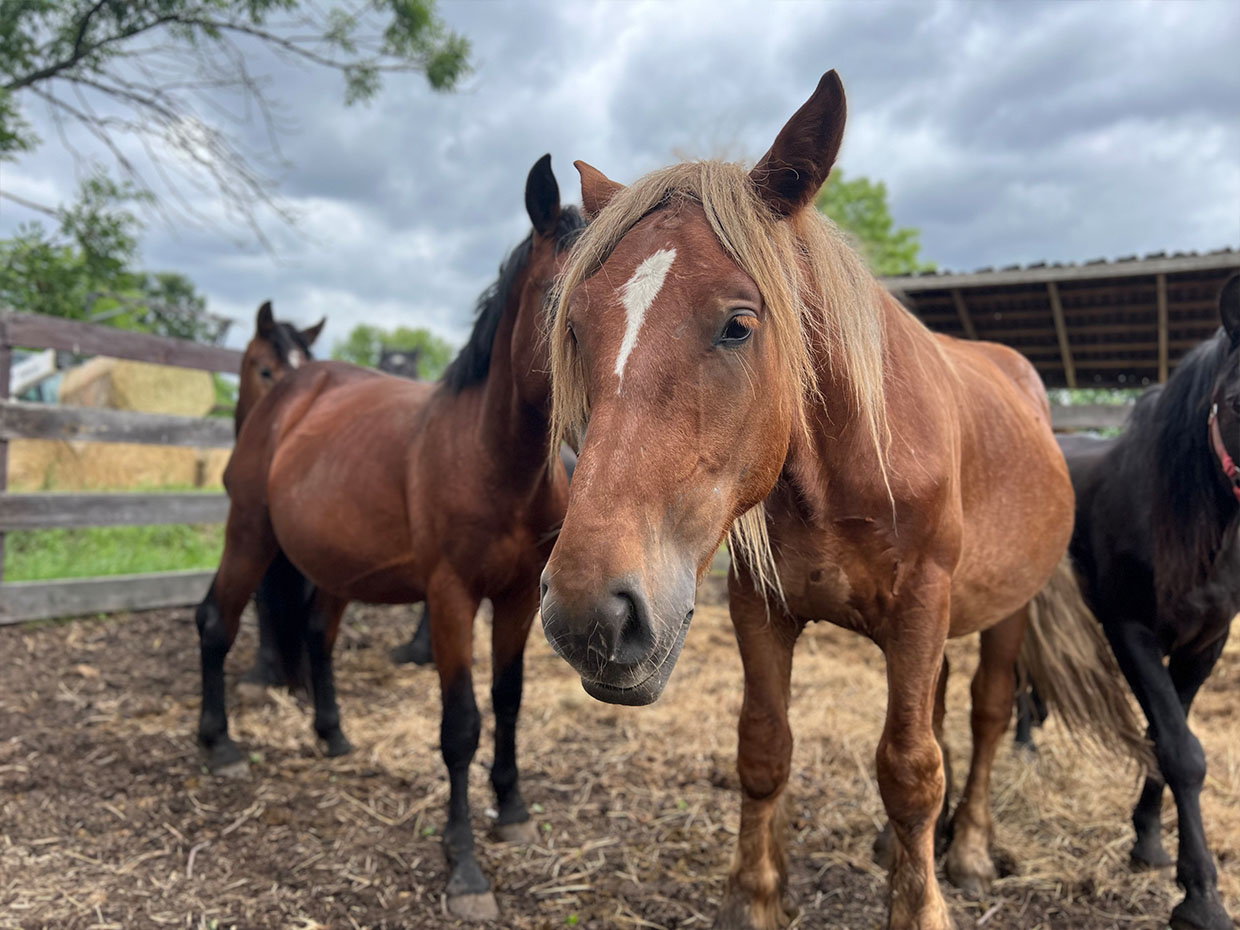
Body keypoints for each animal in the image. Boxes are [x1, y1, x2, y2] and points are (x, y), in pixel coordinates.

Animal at [195, 156, 582, 922]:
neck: (492, 458)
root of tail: (289, 398)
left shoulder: (518, 599)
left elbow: (509, 700)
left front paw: (513, 810)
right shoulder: (451, 598)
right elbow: (460, 724)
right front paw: (464, 867)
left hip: (334, 567)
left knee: (316, 635)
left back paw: (332, 735)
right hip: (249, 534)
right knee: (215, 621)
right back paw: (218, 745)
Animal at [538, 72, 1135, 930]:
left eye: (738, 324)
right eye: (579, 329)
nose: (592, 614)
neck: (846, 466)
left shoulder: (921, 606)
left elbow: (911, 769)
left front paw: (920, 907)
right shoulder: (762, 610)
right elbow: (765, 748)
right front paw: (753, 898)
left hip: (1006, 611)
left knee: (986, 715)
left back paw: (970, 848)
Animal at [1026, 272, 1240, 930]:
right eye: (1236, 404)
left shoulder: (1205, 643)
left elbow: (1167, 734)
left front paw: (1148, 838)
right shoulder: (1130, 631)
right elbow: (1179, 749)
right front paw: (1201, 895)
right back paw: (1023, 745)